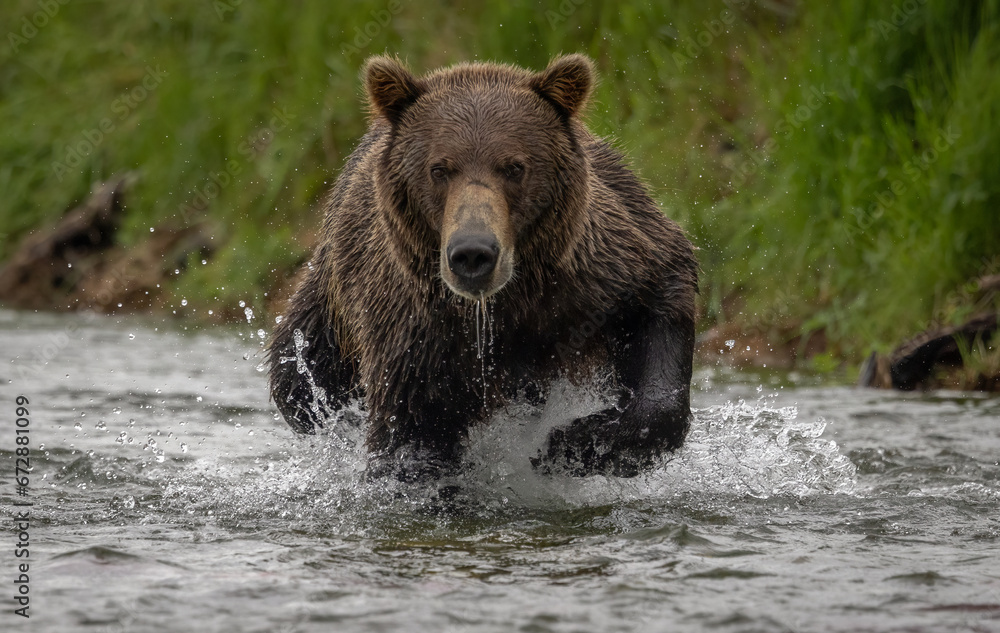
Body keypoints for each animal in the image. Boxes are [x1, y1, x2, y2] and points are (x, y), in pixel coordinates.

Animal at [267, 54, 698, 479]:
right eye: (439, 168)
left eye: (514, 166)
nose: (473, 253)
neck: (501, 304)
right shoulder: (414, 338)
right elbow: (410, 438)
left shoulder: (597, 272)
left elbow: (660, 299)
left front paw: (573, 442)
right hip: (330, 307)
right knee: (298, 375)